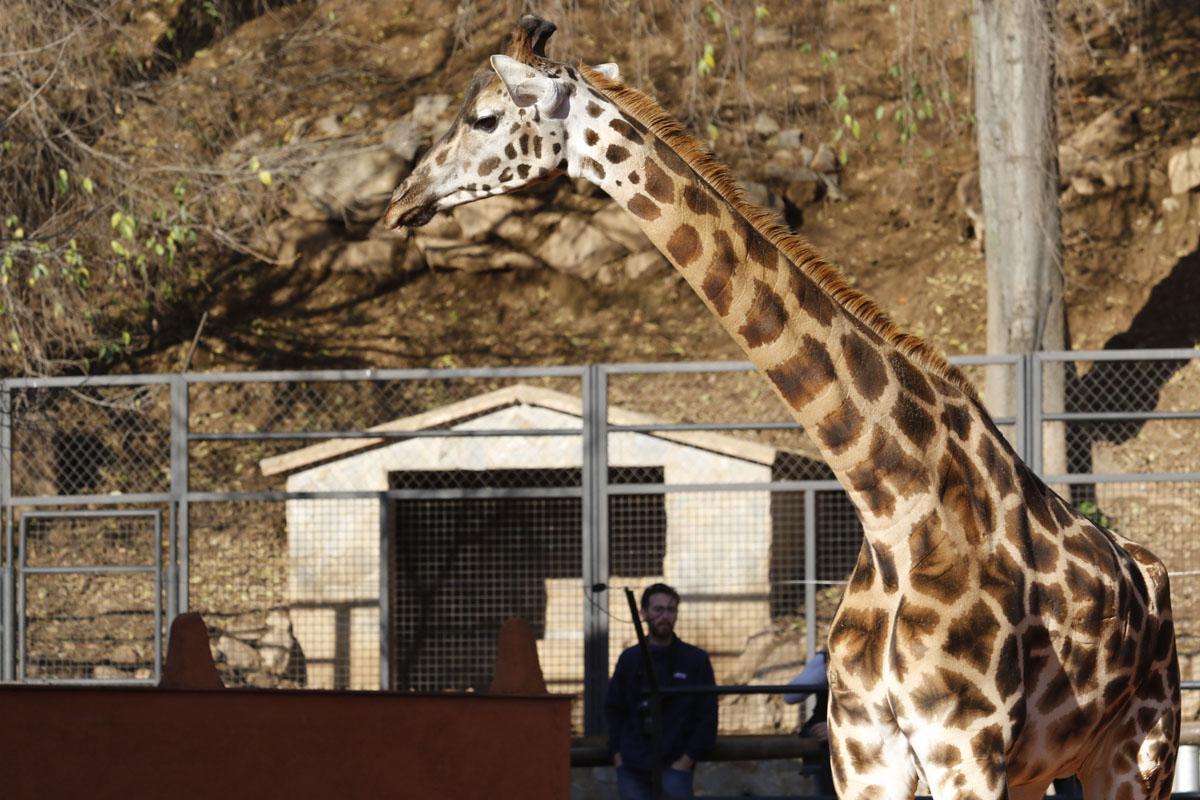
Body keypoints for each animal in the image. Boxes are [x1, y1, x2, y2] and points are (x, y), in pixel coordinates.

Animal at [381, 16, 1180, 800]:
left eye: (485, 117)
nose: (399, 202)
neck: (892, 505)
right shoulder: (864, 754)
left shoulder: (965, 749)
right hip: (1041, 770)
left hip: (1136, 754)